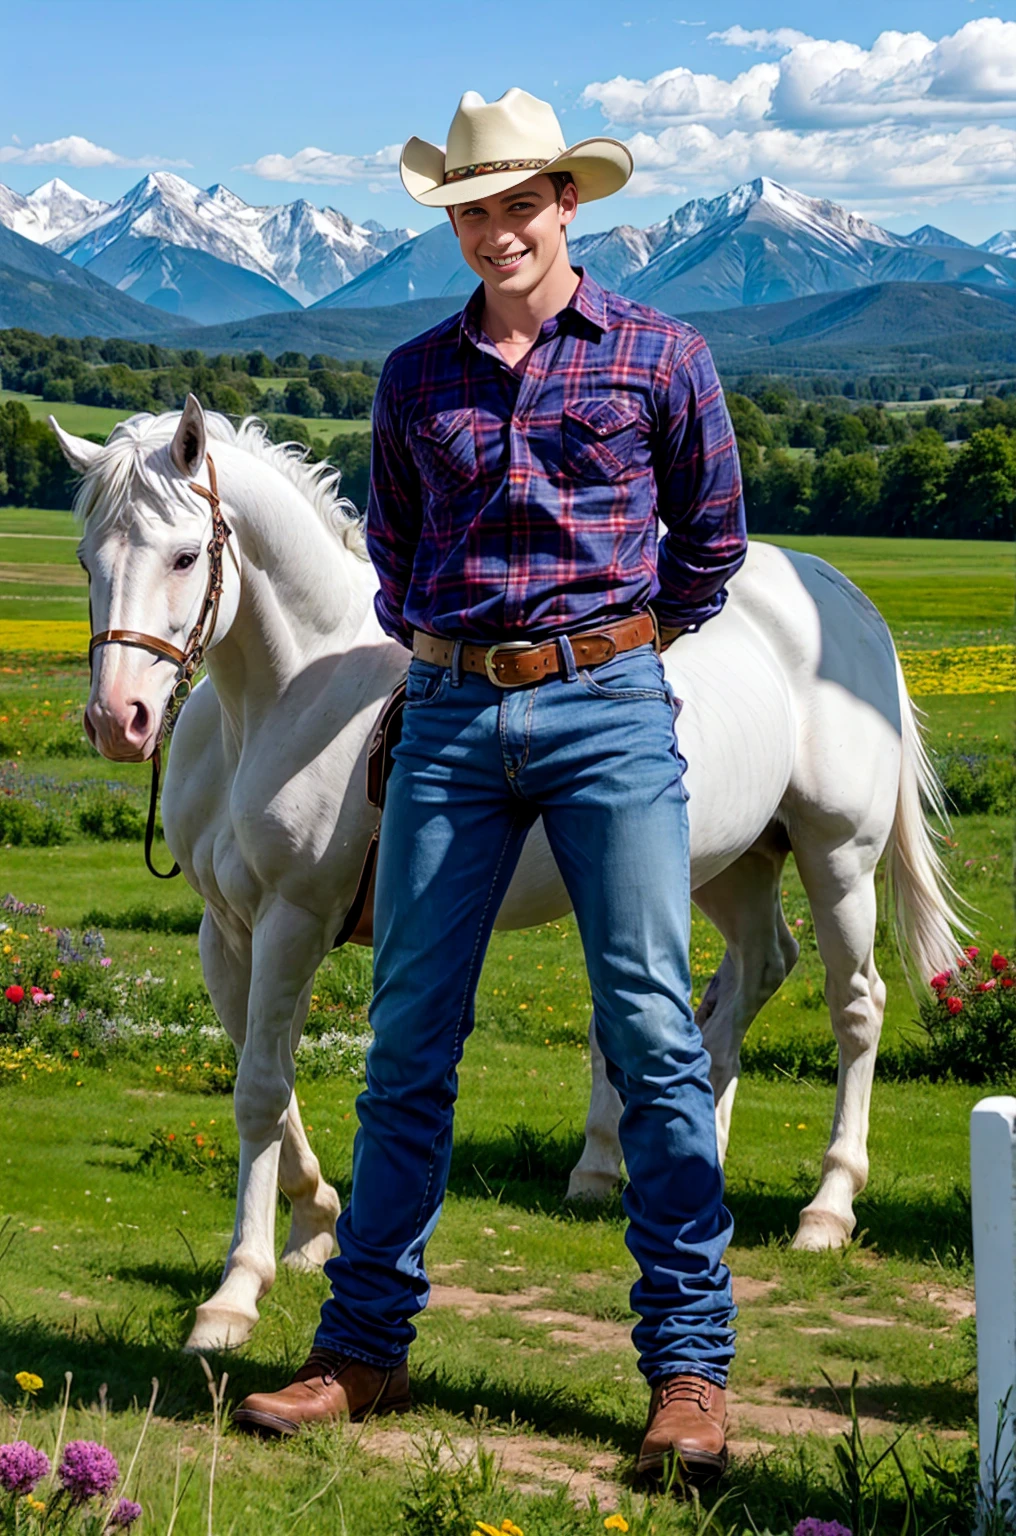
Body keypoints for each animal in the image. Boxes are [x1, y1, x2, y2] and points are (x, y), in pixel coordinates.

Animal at [51, 402, 965, 1351]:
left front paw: (236, 1291)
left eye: (185, 555)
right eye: (87, 559)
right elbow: (269, 1081)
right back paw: (665, 1167)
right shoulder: (227, 932)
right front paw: (313, 1224)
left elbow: (260, 1093)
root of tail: (841, 597)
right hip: (727, 863)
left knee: (855, 1005)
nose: (119, 719)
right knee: (751, 973)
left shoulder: (291, 922)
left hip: (837, 858)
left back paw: (827, 1207)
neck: (287, 698)